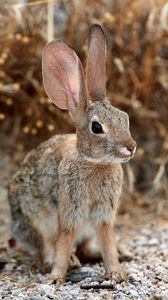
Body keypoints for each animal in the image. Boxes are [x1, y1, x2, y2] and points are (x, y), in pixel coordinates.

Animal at [8, 23, 136, 284]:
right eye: (96, 127)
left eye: (124, 117)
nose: (131, 147)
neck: (95, 162)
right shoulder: (70, 210)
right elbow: (64, 239)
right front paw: (57, 277)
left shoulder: (103, 214)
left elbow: (108, 240)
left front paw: (117, 273)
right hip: (34, 222)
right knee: (46, 247)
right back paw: (70, 262)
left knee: (86, 247)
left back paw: (118, 255)